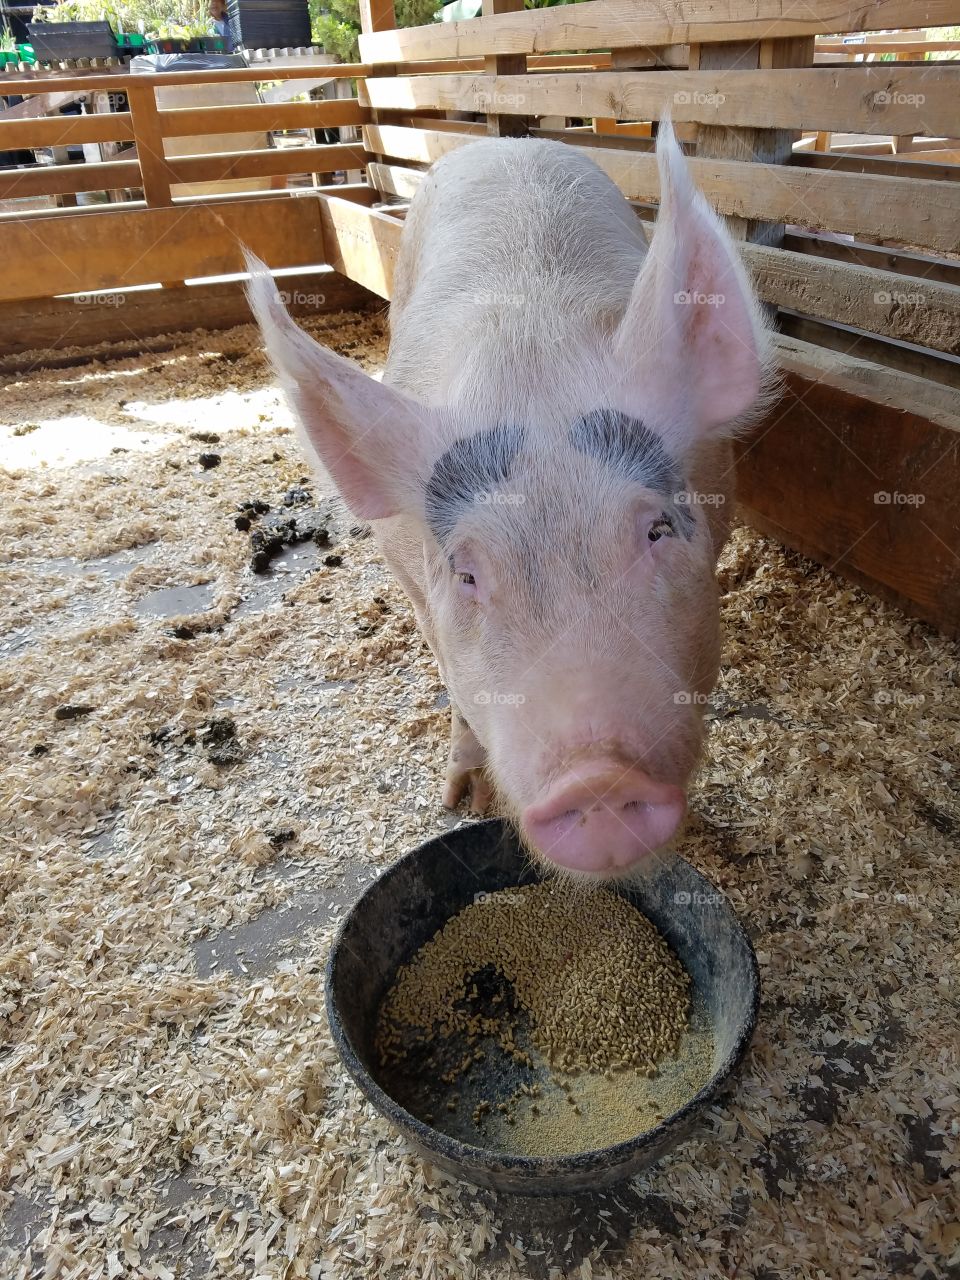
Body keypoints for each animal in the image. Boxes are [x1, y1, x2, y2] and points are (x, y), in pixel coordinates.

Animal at [245, 120, 774, 878]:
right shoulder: (416, 586)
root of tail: (509, 142)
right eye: (467, 573)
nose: (596, 778)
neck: (531, 352)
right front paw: (462, 800)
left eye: (657, 530)